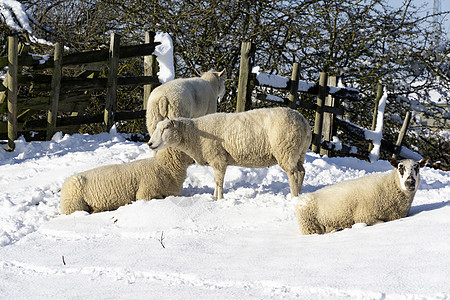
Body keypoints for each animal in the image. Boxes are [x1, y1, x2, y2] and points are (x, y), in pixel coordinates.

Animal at [148, 106, 312, 200]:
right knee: (302, 172)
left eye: (165, 128)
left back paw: (293, 197)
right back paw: (300, 193)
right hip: (299, 152)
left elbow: (219, 181)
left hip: (286, 149)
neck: (195, 134)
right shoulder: (216, 160)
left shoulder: (218, 158)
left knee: (293, 174)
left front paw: (220, 199)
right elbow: (215, 180)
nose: (149, 144)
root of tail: (303, 121)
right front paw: (214, 197)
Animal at [296, 157, 428, 234]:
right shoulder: (364, 217)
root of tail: (299, 199)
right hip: (310, 226)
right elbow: (381, 223)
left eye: (417, 168)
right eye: (400, 168)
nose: (410, 183)